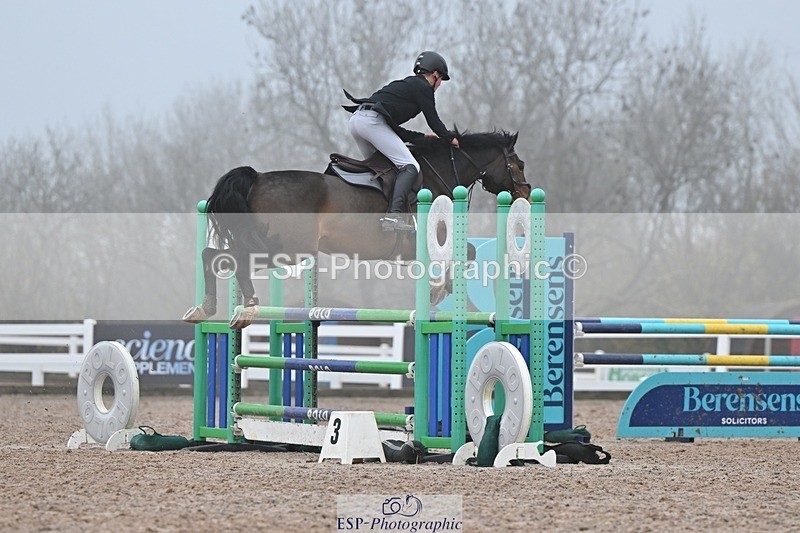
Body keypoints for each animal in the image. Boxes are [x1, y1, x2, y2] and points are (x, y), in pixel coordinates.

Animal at [183, 130, 531, 328]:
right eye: (520, 164)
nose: (526, 194)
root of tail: (256, 178)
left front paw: (437, 290)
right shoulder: (422, 242)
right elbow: (466, 253)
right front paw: (437, 291)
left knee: (212, 255)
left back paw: (205, 307)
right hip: (288, 249)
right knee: (237, 261)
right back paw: (248, 310)